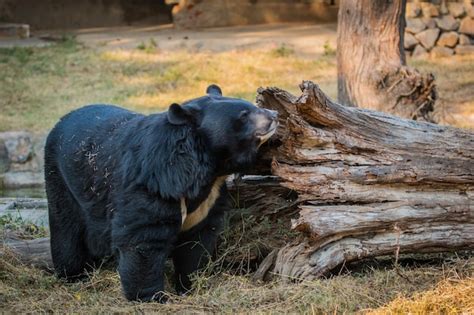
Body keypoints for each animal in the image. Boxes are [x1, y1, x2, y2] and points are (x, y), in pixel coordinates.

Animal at [44, 85, 278, 302]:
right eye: (244, 114)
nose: (274, 114)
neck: (209, 168)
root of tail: (63, 120)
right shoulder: (153, 184)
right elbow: (144, 238)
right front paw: (152, 297)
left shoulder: (209, 199)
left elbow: (196, 242)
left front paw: (189, 287)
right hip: (61, 179)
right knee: (66, 229)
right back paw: (75, 275)